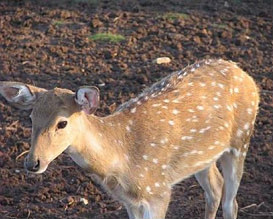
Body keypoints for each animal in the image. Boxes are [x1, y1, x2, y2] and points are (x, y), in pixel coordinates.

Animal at [0, 58, 258, 219]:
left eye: (62, 123)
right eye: (31, 117)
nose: (32, 163)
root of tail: (243, 73)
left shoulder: (159, 192)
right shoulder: (129, 201)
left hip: (241, 139)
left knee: (231, 202)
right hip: (202, 157)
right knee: (215, 188)